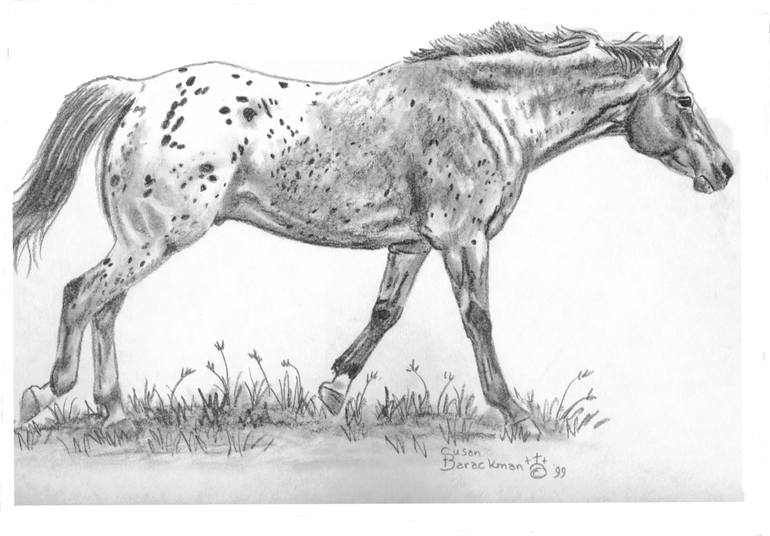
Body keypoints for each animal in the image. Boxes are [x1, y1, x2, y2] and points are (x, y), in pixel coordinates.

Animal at [14, 23, 733, 433]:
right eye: (685, 100)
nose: (724, 170)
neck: (490, 111)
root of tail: (136, 91)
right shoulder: (464, 239)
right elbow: (479, 320)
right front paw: (517, 415)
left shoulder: (411, 244)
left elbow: (385, 313)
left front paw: (333, 391)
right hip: (156, 238)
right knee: (82, 294)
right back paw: (43, 397)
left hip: (143, 242)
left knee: (106, 307)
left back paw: (115, 412)